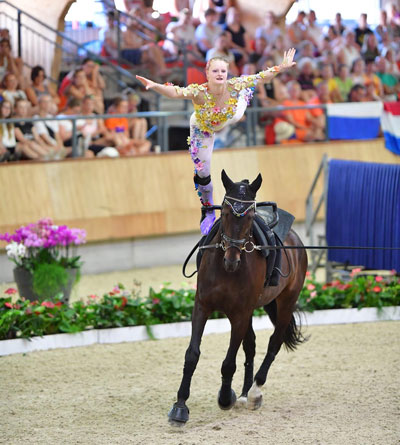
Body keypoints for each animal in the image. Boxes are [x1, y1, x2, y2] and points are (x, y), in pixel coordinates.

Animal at [167, 169, 308, 424]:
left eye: (251, 216)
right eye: (224, 212)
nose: (231, 260)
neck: (226, 270)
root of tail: (295, 238)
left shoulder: (239, 314)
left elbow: (228, 363)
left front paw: (225, 398)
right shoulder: (202, 306)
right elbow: (192, 355)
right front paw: (180, 407)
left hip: (285, 302)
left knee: (274, 343)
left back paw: (254, 392)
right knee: (251, 345)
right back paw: (243, 393)